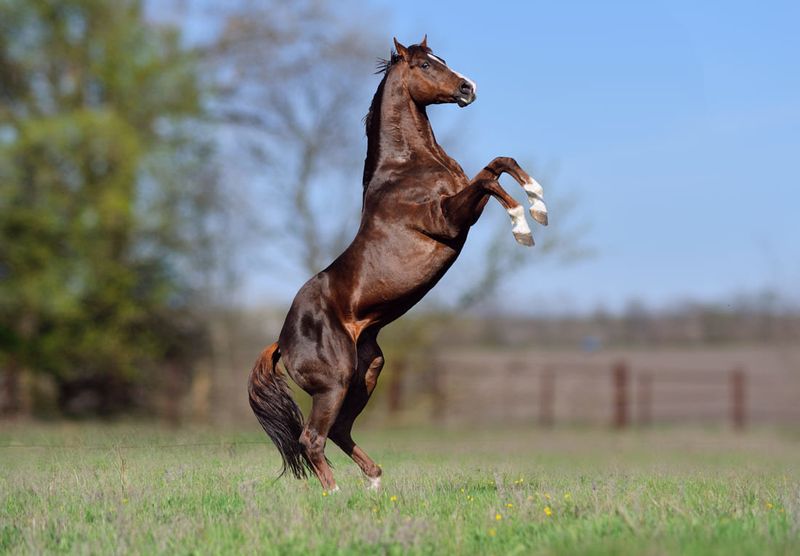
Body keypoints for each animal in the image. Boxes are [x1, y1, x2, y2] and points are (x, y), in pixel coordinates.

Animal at [248, 35, 552, 490]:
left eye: (441, 59)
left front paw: (538, 202)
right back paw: (335, 495)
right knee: (312, 438)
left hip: (368, 370)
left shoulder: (464, 210)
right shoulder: (449, 219)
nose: (468, 88)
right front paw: (523, 226)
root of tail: (281, 342)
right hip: (335, 382)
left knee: (339, 431)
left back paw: (374, 484)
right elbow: (488, 178)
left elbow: (500, 163)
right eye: (425, 65)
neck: (407, 169)